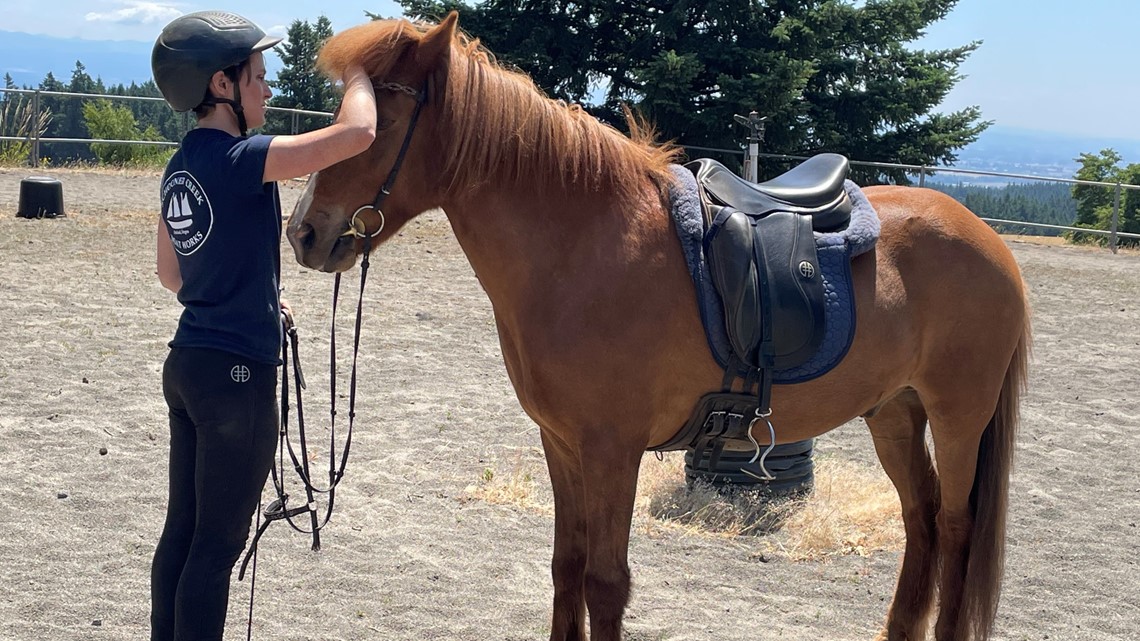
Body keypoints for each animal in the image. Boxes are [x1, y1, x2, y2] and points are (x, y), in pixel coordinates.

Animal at [286, 13, 1031, 641]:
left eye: (378, 123)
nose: (304, 233)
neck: (583, 245)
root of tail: (986, 239)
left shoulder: (612, 450)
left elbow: (605, 582)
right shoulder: (562, 444)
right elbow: (566, 567)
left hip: (957, 414)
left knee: (957, 526)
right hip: (894, 412)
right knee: (922, 520)